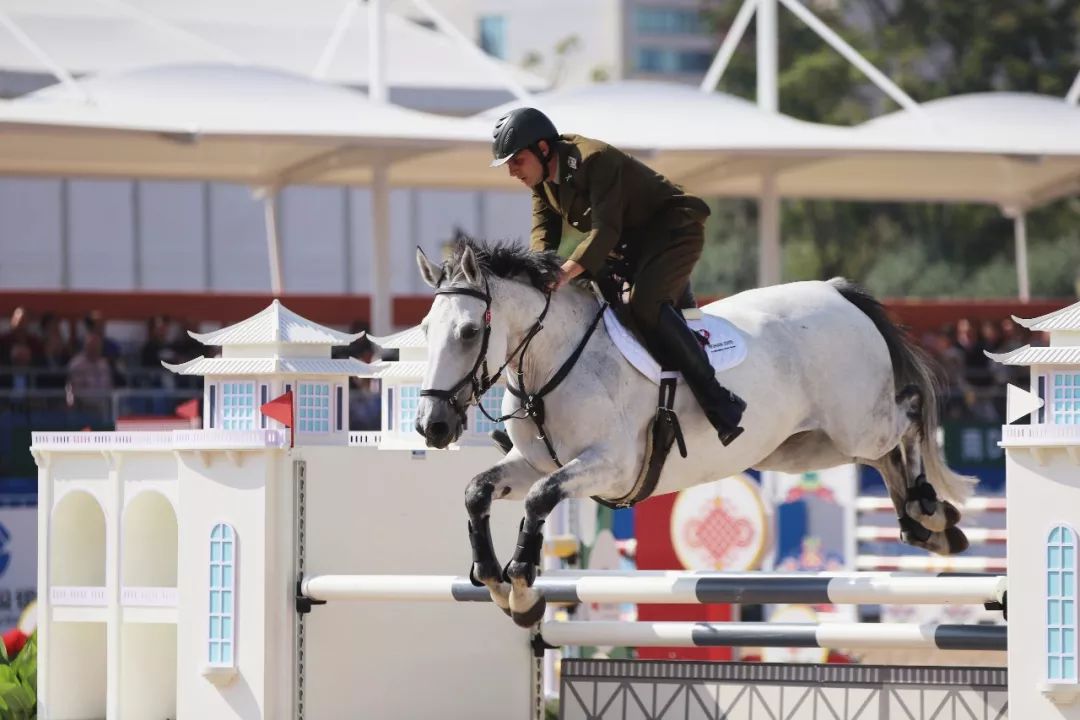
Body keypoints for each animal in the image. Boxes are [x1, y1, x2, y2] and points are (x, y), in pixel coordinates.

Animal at [414, 238, 976, 628]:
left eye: (469, 332)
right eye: (424, 330)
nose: (432, 426)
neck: (553, 362)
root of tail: (838, 292)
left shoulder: (608, 467)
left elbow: (538, 500)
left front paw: (524, 588)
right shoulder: (535, 463)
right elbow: (478, 491)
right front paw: (494, 580)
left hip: (858, 423)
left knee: (909, 416)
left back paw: (930, 509)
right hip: (805, 448)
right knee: (884, 459)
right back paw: (927, 526)